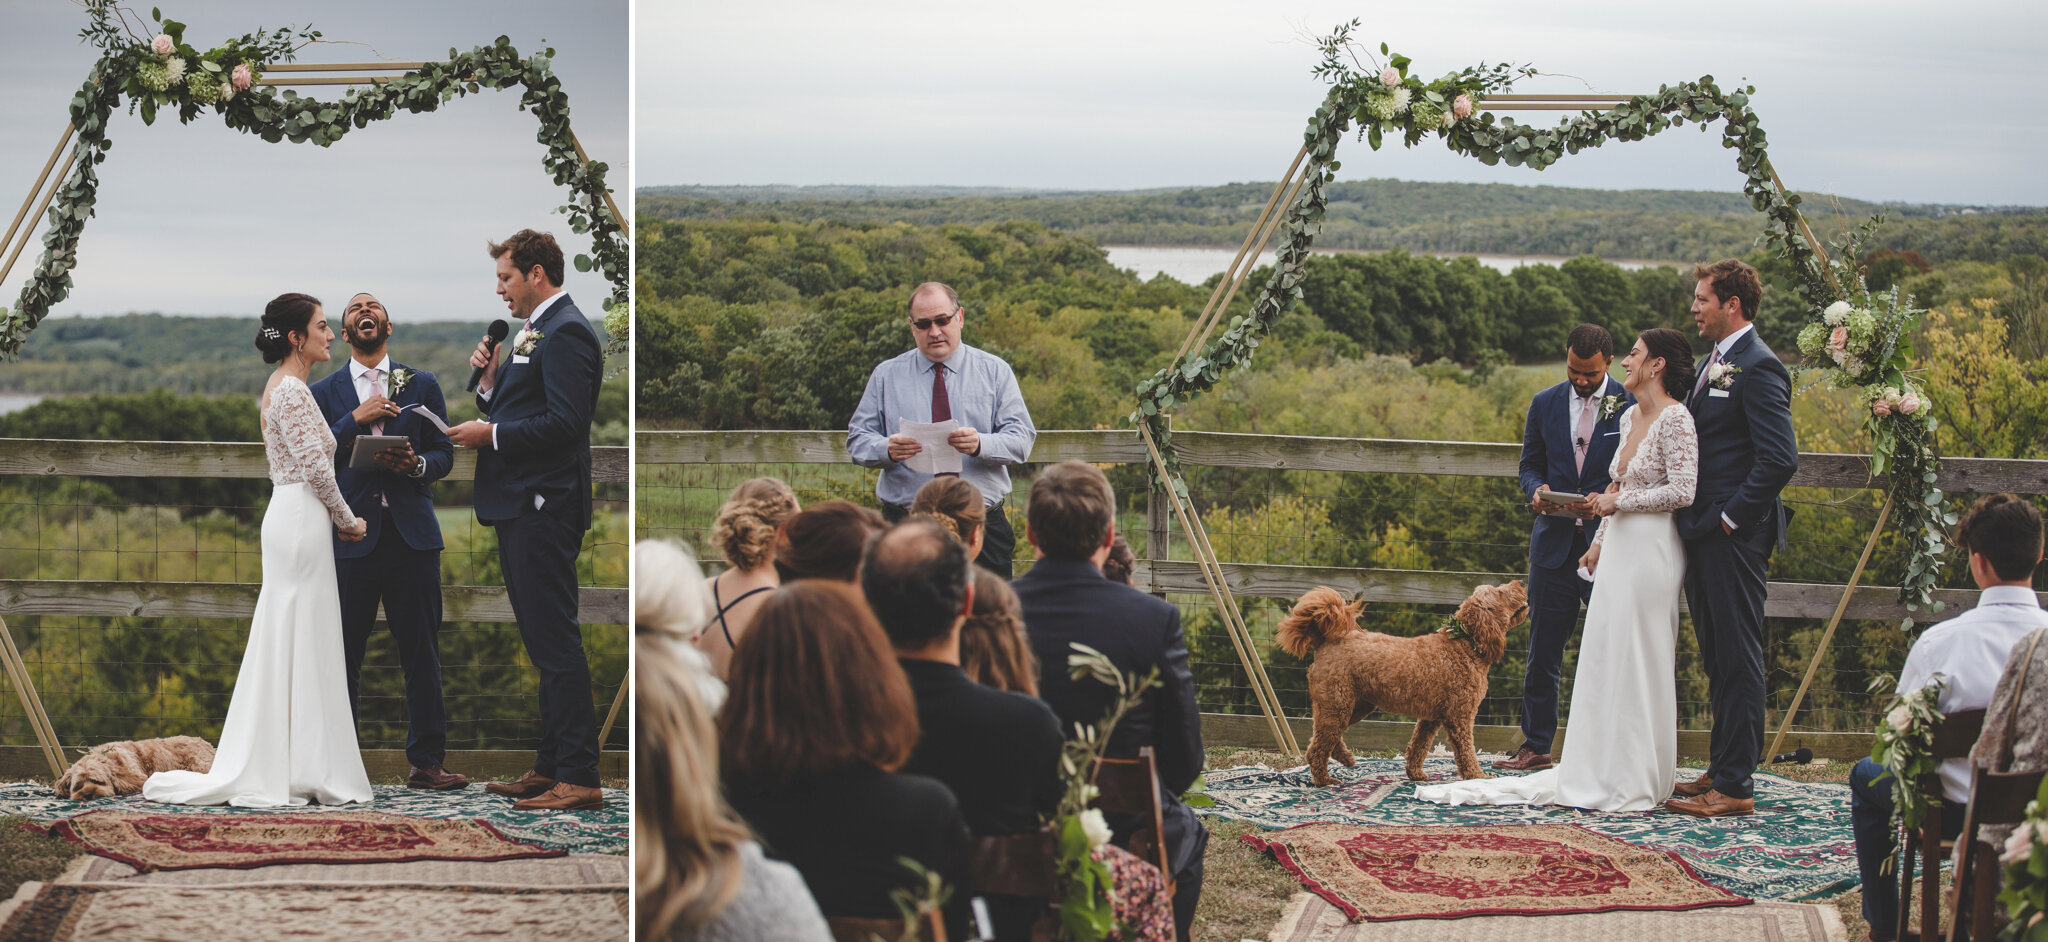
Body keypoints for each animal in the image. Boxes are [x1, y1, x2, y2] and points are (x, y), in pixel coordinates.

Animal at [1269, 581, 1531, 786]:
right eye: (1500, 592)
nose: (1522, 582)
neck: (1463, 644)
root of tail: (1324, 640)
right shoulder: (1460, 716)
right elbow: (1466, 751)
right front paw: (1477, 777)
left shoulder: (1430, 718)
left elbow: (1418, 747)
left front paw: (1415, 774)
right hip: (1338, 705)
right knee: (1318, 748)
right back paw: (1325, 780)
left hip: (1352, 706)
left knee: (1323, 739)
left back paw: (1346, 759)